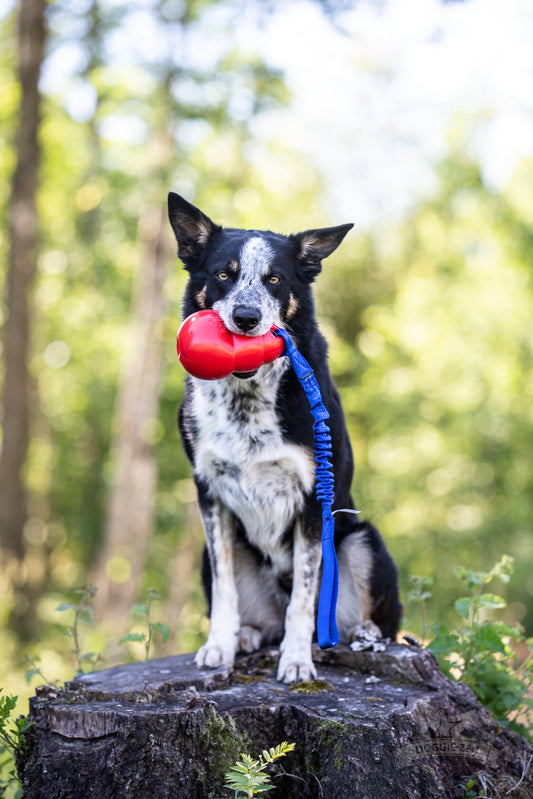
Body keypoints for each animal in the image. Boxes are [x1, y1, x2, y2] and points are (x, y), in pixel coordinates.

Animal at [168, 195, 402, 688]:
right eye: (224, 274)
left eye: (274, 279)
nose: (246, 318)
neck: (247, 396)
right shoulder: (209, 493)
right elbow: (225, 590)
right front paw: (219, 646)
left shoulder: (314, 498)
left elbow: (304, 598)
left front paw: (296, 660)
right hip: (215, 553)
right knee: (256, 613)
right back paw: (246, 636)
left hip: (362, 540)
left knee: (364, 622)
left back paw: (365, 635)